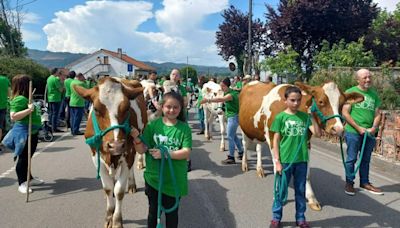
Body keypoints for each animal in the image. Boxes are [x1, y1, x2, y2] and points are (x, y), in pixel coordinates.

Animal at [72, 77, 148, 228]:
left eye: (127, 108)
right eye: (96, 109)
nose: (116, 145)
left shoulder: (128, 152)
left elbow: (119, 190)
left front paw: (117, 220)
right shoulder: (95, 157)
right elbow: (107, 188)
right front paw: (109, 216)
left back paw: (131, 184)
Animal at [239, 81, 364, 211]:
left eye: (342, 104)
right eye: (321, 101)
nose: (338, 128)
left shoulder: (306, 143)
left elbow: (306, 174)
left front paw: (312, 198)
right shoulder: (273, 139)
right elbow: (277, 169)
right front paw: (277, 196)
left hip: (258, 132)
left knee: (258, 147)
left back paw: (260, 169)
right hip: (244, 128)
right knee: (245, 144)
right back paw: (245, 164)